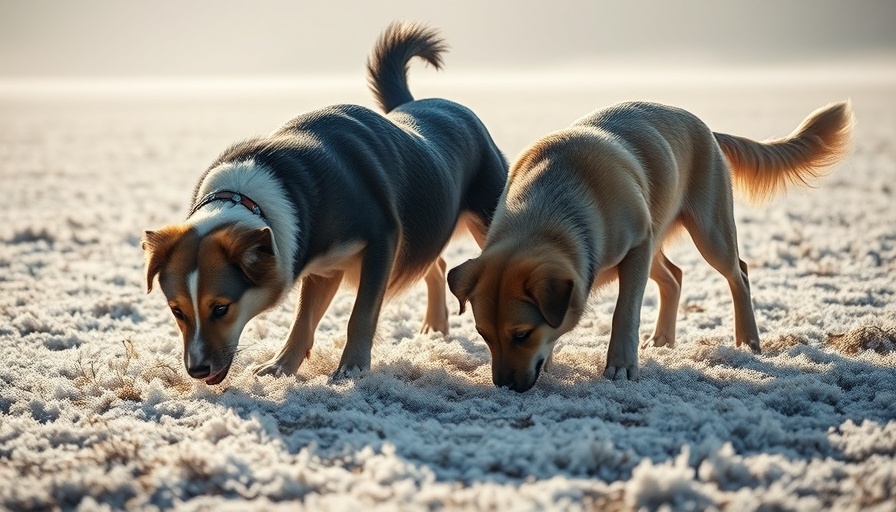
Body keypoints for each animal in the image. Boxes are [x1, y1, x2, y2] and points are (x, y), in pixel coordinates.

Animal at [448, 100, 856, 390]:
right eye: (483, 335)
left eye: (521, 335)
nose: (503, 386)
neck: (552, 207)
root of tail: (707, 129)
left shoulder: (637, 245)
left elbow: (625, 312)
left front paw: (620, 366)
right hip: (660, 232)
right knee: (674, 276)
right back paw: (662, 340)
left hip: (708, 230)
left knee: (738, 273)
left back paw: (748, 341)